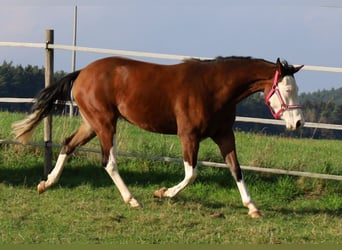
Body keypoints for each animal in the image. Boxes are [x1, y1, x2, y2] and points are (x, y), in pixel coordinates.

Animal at [11, 55, 304, 218]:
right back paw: (132, 200)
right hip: (105, 123)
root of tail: (82, 72)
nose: (298, 122)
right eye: (287, 90)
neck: (214, 88)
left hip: (92, 123)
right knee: (108, 161)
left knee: (68, 144)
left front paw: (253, 208)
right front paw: (162, 193)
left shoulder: (224, 135)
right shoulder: (188, 135)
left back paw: (46, 183)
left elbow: (236, 170)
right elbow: (191, 173)